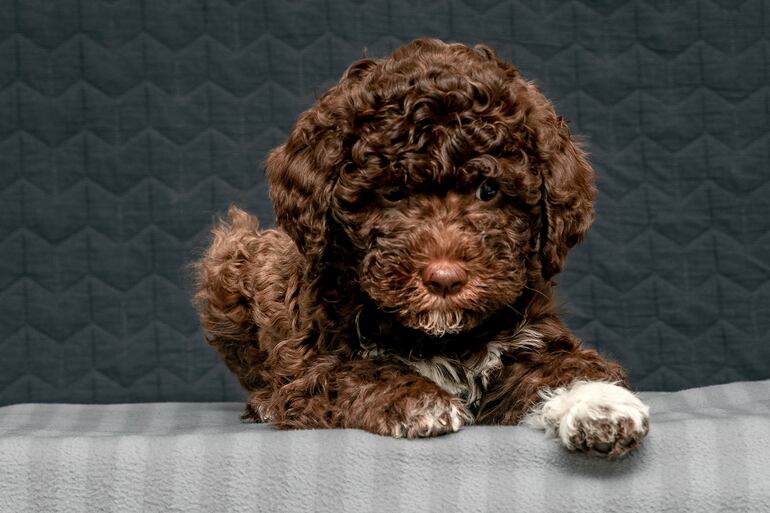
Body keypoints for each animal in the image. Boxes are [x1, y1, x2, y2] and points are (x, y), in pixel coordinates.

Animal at [194, 38, 649, 458]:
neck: (441, 336)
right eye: (393, 193)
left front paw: (602, 406)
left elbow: (565, 368)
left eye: (489, 191)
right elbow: (356, 371)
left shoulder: (530, 338)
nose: (444, 279)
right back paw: (264, 402)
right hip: (233, 258)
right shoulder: (310, 365)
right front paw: (417, 399)